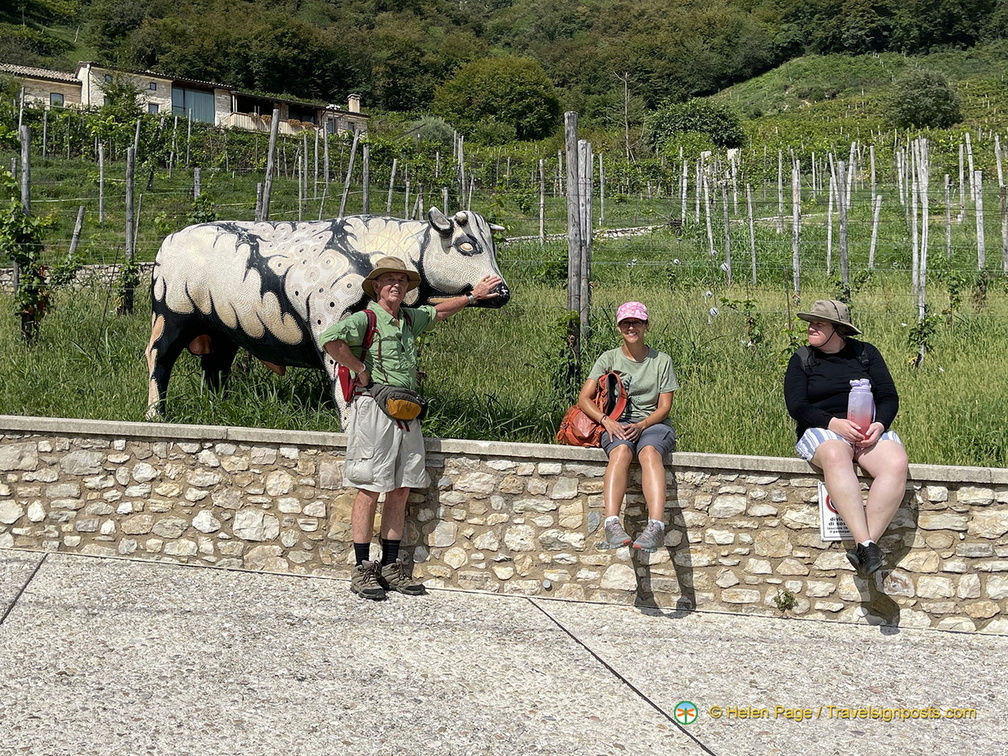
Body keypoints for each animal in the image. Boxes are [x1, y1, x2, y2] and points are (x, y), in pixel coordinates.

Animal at [145, 207, 510, 421]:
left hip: (222, 330)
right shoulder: (329, 323)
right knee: (158, 358)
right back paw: (155, 415)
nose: (501, 291)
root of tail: (170, 238)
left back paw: (216, 408)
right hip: (171, 314)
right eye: (467, 246)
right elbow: (344, 384)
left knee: (215, 367)